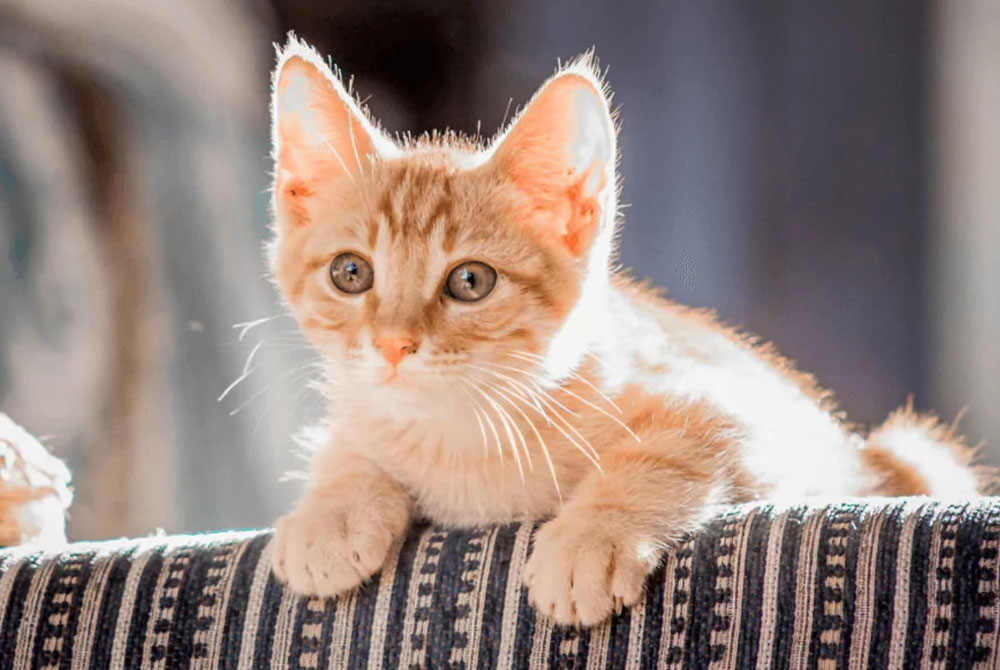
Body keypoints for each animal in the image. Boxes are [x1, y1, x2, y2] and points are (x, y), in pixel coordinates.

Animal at [268, 35, 984, 624]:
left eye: (470, 281)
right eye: (351, 273)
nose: (393, 344)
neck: (462, 435)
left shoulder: (753, 419)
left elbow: (668, 449)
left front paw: (591, 539)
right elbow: (348, 441)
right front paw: (330, 511)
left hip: (908, 451)